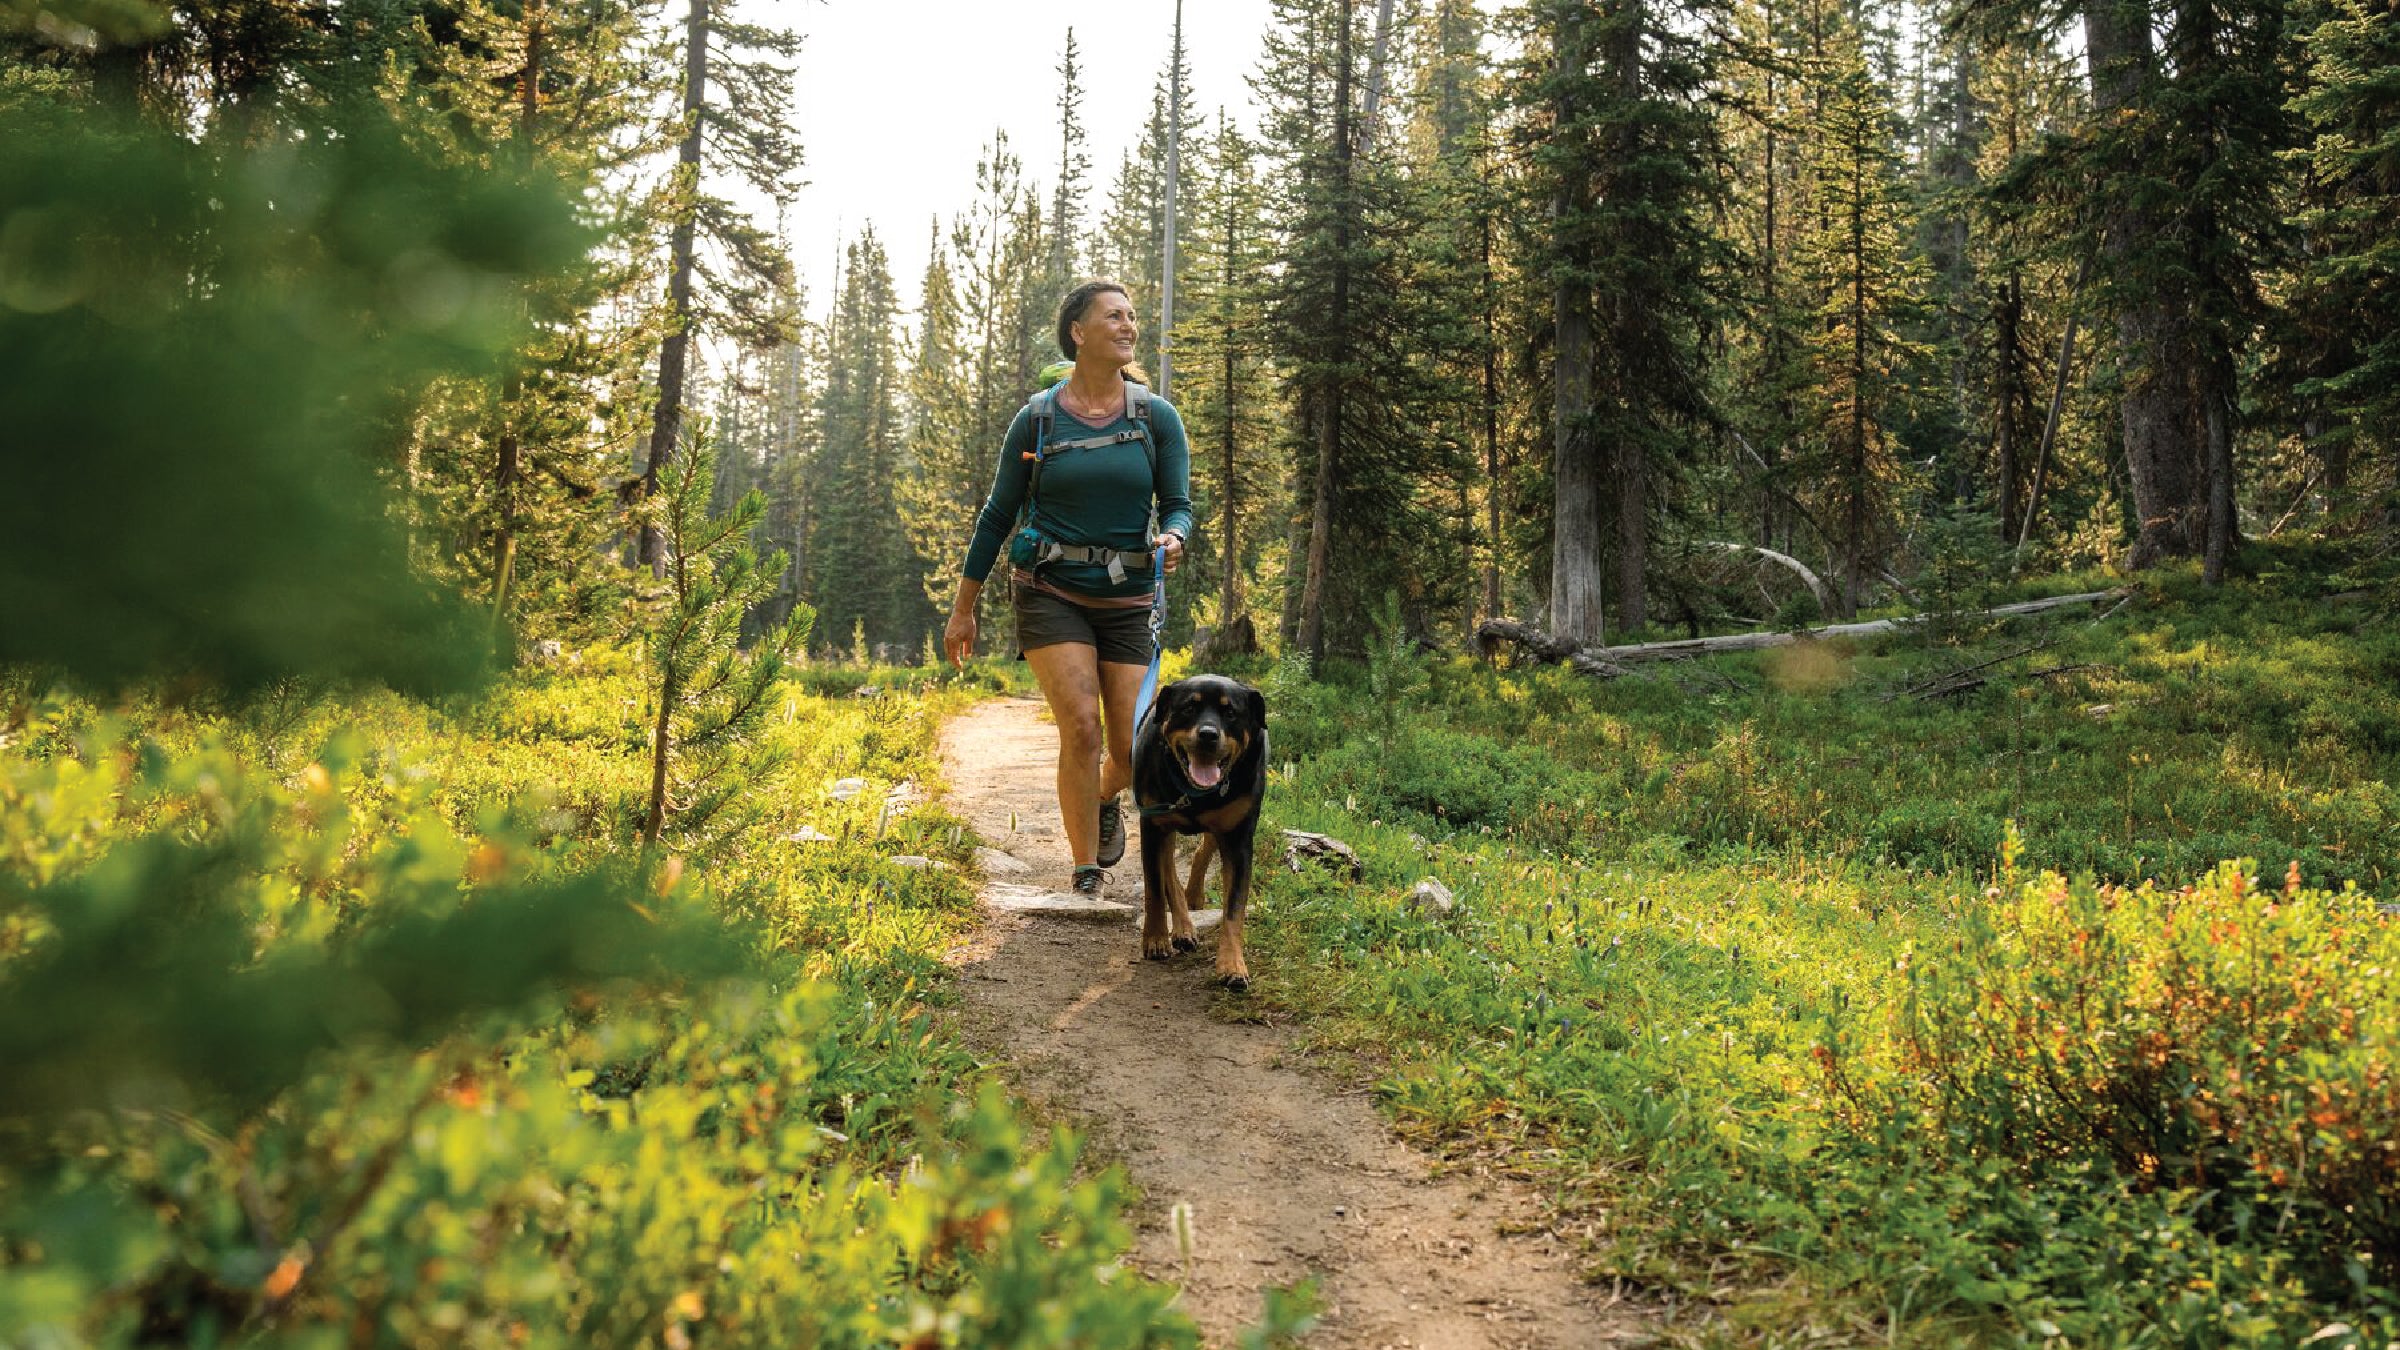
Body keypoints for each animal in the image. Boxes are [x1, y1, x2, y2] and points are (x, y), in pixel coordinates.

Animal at [1128, 672, 1267, 989]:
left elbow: (1234, 908)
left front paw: (1233, 965)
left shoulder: (1239, 840)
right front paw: (1156, 939)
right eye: (1189, 708)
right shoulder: (1152, 825)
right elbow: (1155, 890)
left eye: (1231, 713)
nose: (1208, 734)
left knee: (1203, 850)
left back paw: (1193, 897)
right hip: (1162, 825)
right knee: (1168, 870)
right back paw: (1182, 928)